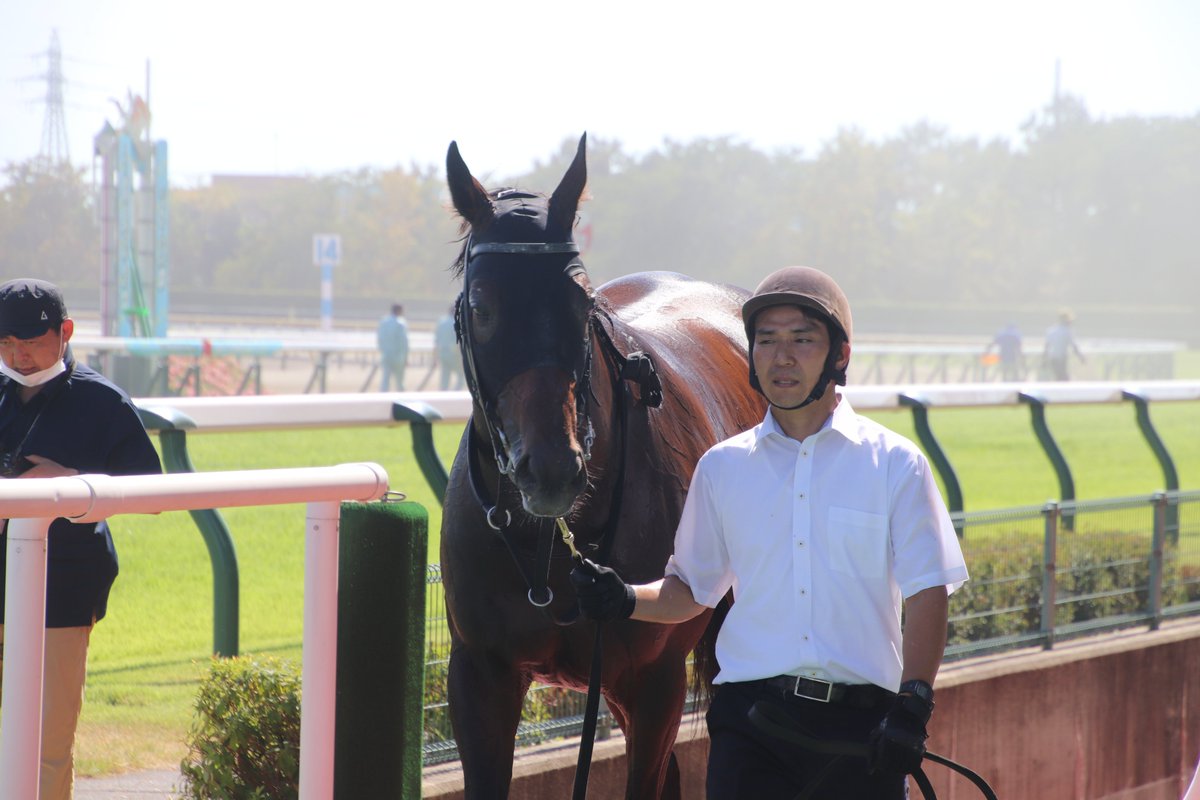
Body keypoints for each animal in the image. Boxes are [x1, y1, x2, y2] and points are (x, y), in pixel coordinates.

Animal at [440, 133, 766, 798]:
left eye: (581, 299)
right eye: (482, 306)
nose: (551, 470)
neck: (548, 548)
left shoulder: (655, 680)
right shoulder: (479, 676)